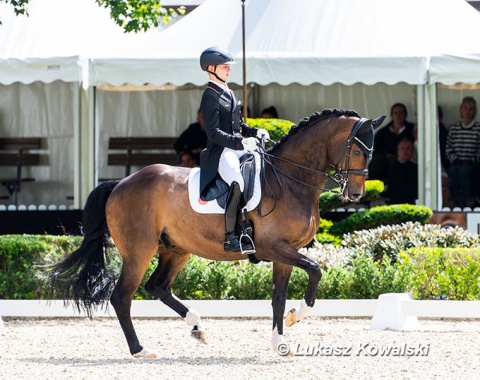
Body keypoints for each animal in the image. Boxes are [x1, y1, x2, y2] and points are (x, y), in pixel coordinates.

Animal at [46, 109, 382, 356]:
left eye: (370, 153)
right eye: (356, 150)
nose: (355, 194)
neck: (289, 180)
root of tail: (121, 183)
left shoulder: (287, 251)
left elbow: (278, 297)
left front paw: (280, 342)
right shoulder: (273, 247)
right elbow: (315, 270)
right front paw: (296, 316)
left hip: (176, 249)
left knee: (157, 287)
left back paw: (198, 327)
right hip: (139, 251)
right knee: (122, 297)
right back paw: (140, 350)